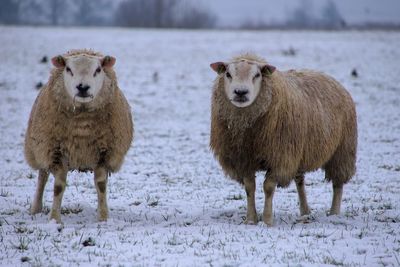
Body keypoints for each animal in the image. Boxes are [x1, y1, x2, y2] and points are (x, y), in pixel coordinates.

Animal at [24, 49, 134, 224]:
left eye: (98, 70)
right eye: (68, 69)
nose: (83, 87)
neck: (82, 126)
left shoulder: (105, 152)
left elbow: (101, 184)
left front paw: (103, 217)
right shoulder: (55, 152)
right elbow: (58, 186)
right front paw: (54, 219)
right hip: (39, 149)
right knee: (42, 177)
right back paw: (36, 208)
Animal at [209, 54, 356, 226]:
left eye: (257, 75)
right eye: (228, 74)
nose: (240, 92)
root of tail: (328, 77)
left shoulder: (280, 158)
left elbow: (268, 188)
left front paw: (267, 220)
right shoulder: (244, 159)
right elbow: (249, 188)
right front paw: (251, 219)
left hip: (342, 150)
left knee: (338, 183)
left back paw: (334, 213)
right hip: (299, 153)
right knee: (300, 182)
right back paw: (305, 212)